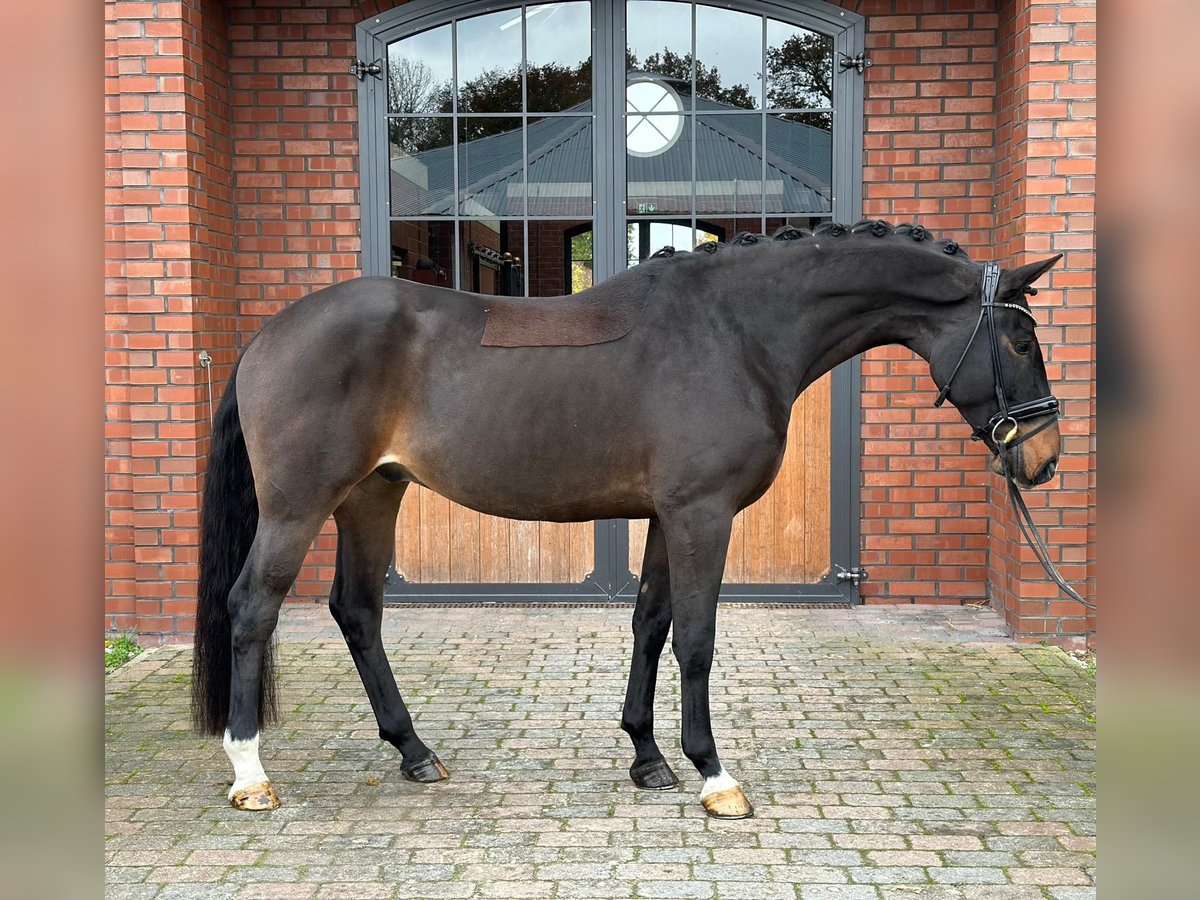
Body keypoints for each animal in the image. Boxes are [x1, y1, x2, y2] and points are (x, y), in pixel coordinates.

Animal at [192, 218, 1065, 816]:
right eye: (1021, 340)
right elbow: (697, 639)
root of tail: (267, 337)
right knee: (252, 607)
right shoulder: (702, 515)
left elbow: (650, 624)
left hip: (374, 493)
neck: (734, 333)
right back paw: (251, 774)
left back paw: (414, 751)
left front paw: (648, 758)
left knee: (358, 612)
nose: (1045, 457)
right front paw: (714, 775)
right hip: (300, 505)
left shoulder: (664, 517)